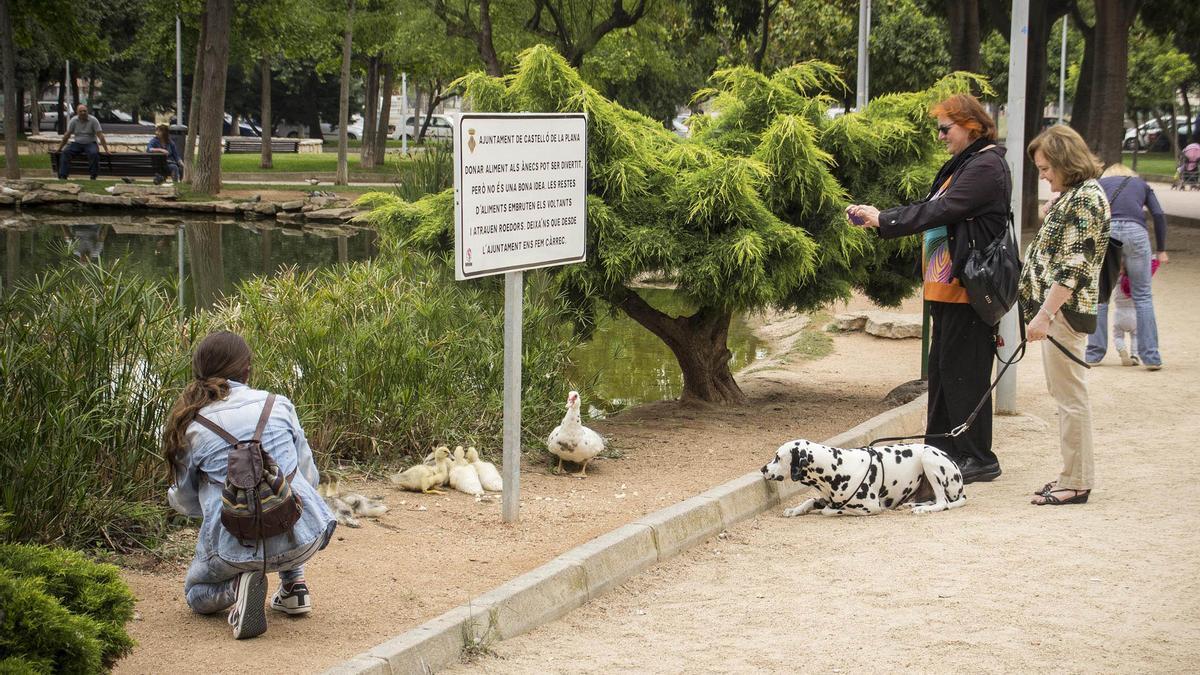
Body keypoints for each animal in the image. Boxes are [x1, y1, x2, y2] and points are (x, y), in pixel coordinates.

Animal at [763, 437, 969, 514]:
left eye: (777, 457)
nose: (763, 469)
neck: (835, 467)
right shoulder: (827, 497)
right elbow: (810, 501)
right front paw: (795, 509)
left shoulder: (871, 507)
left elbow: (829, 510)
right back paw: (913, 504)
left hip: (928, 458)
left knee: (943, 503)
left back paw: (924, 509)